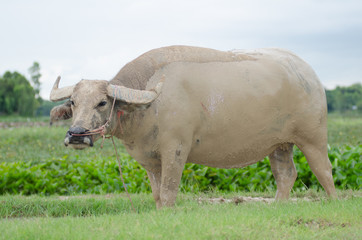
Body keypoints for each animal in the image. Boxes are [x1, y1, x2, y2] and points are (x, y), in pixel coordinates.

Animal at [50, 45, 336, 208]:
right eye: (73, 102)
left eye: (101, 102)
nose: (76, 135)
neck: (148, 105)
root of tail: (309, 74)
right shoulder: (150, 160)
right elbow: (157, 194)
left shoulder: (176, 149)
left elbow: (168, 191)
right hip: (280, 144)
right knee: (286, 174)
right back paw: (278, 206)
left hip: (313, 137)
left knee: (323, 169)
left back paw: (333, 201)